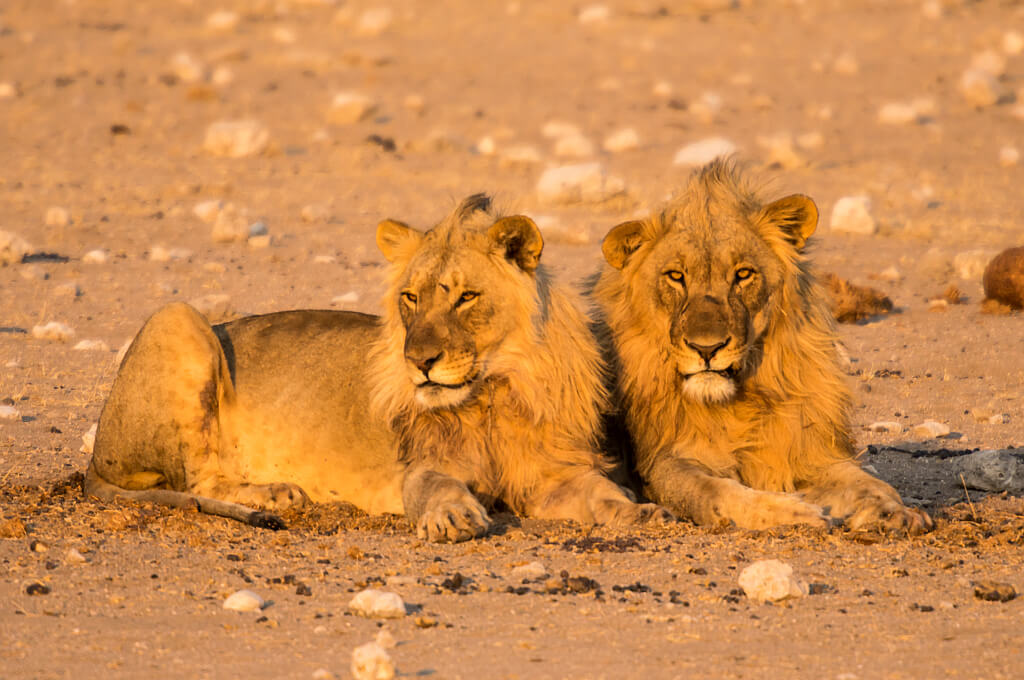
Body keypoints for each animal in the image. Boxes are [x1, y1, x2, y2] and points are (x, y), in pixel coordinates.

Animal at [86, 194, 670, 542]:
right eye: (411, 298)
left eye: (466, 298)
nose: (420, 362)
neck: (491, 394)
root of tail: (95, 460)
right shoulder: (419, 465)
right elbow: (437, 487)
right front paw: (453, 516)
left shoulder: (553, 475)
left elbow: (601, 493)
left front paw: (643, 512)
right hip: (178, 318)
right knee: (200, 476)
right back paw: (276, 493)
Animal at [593, 160, 932, 533]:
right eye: (676, 276)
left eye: (743, 274)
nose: (706, 349)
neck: (739, 403)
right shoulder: (663, 463)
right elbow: (718, 491)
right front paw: (795, 512)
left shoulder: (809, 450)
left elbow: (868, 482)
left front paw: (895, 511)